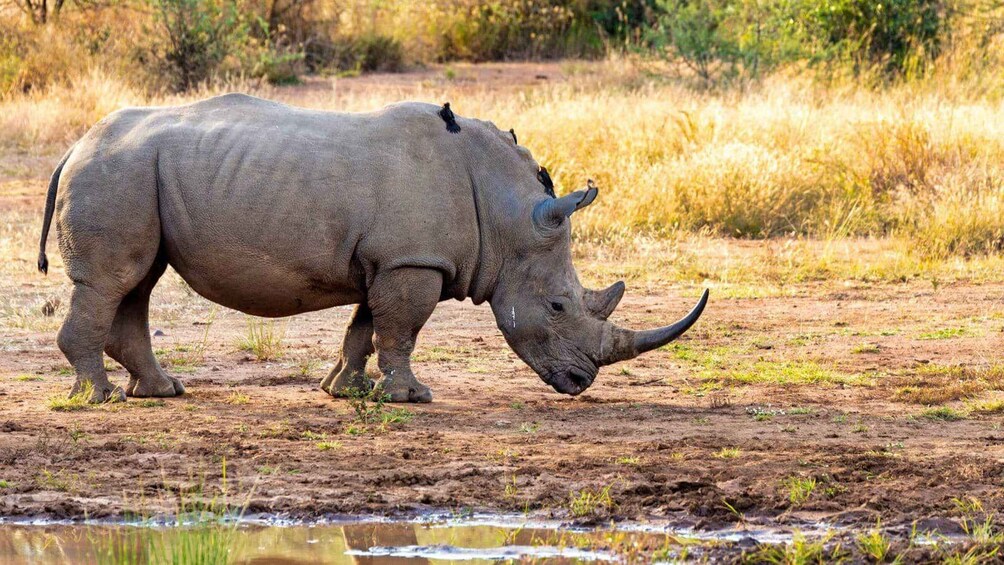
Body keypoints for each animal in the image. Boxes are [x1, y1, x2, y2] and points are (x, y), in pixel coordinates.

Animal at [37, 94, 708, 403]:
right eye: (559, 308)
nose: (580, 382)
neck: (507, 216)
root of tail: (73, 146)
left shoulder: (392, 258)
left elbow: (366, 326)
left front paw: (345, 390)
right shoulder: (413, 260)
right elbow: (402, 328)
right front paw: (412, 397)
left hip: (134, 174)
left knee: (137, 282)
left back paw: (162, 392)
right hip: (117, 172)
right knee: (114, 281)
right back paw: (96, 398)